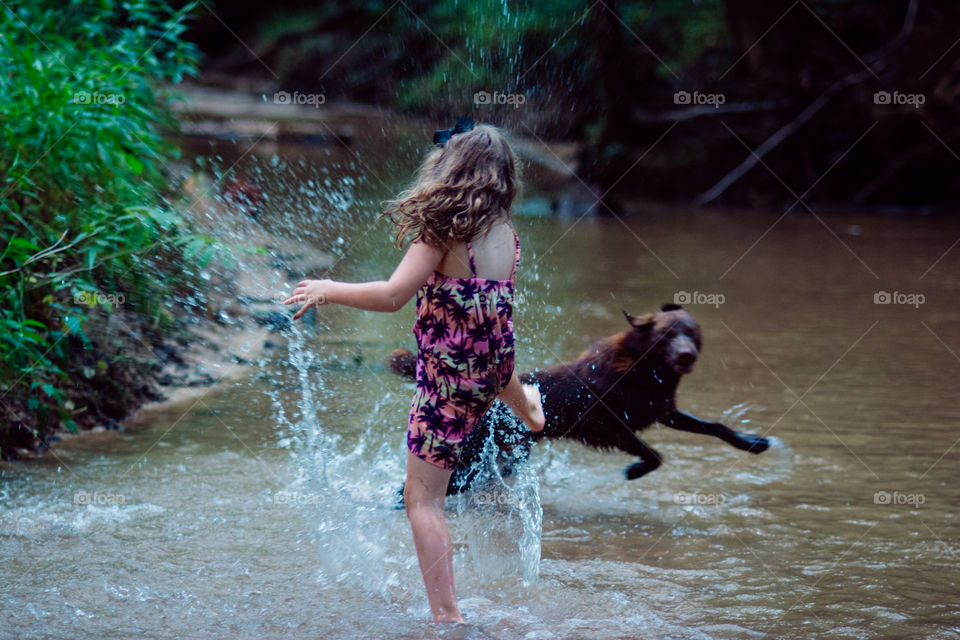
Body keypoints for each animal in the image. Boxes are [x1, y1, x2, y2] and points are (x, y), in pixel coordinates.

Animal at [386, 302, 768, 492]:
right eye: (667, 335)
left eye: (691, 332)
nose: (687, 355)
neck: (644, 370)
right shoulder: (606, 427)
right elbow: (653, 453)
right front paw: (634, 470)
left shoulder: (661, 410)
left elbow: (714, 426)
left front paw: (753, 441)